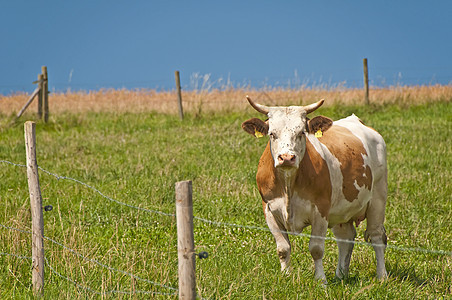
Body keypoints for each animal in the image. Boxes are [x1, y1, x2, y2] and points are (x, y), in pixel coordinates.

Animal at [242, 96, 386, 284]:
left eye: (302, 133)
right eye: (272, 133)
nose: (286, 158)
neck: (288, 183)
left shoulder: (320, 211)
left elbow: (316, 249)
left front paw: (320, 280)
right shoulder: (269, 210)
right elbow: (283, 248)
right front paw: (285, 276)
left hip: (378, 198)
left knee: (377, 237)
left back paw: (382, 276)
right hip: (341, 211)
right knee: (345, 238)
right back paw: (341, 274)